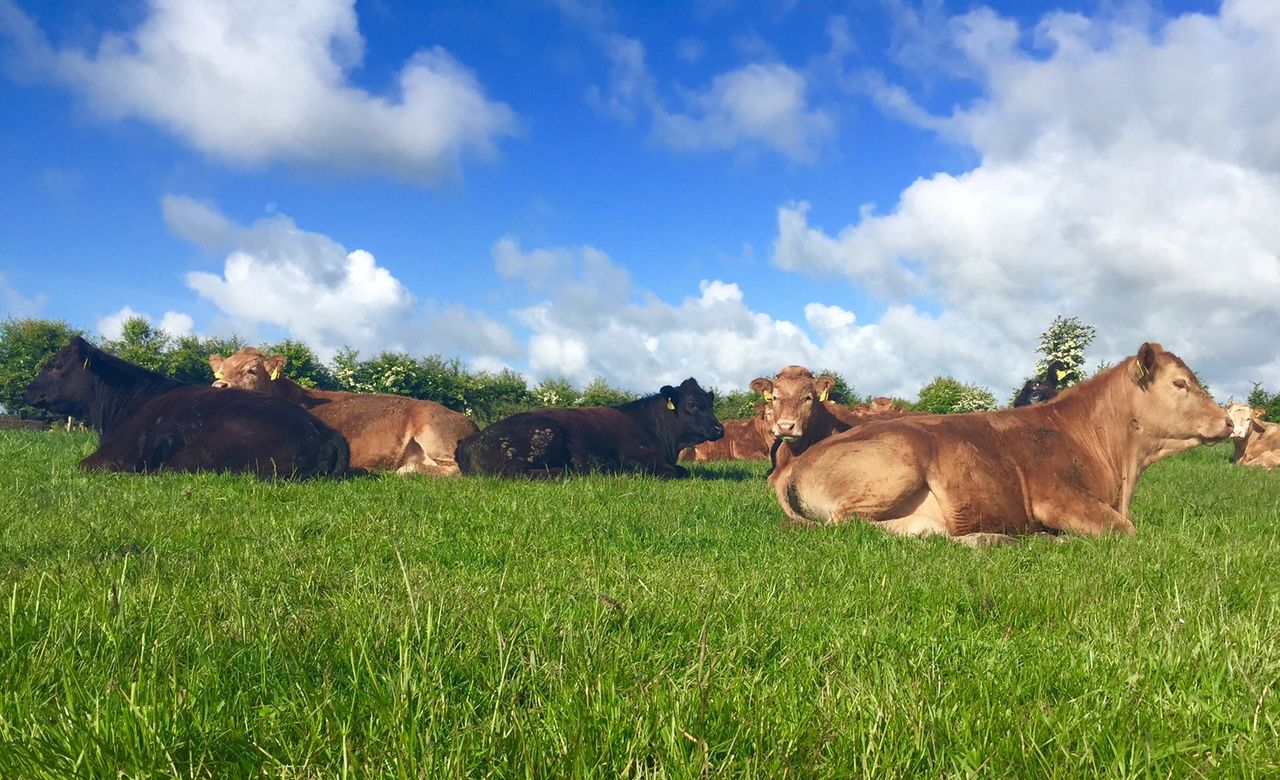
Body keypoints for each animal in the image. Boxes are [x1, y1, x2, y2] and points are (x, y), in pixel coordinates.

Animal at [456, 378, 724, 478]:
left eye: (710, 401)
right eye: (692, 405)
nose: (719, 429)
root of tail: (469, 440)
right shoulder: (640, 459)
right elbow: (678, 471)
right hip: (543, 435)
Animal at [770, 343, 1232, 547]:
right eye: (1180, 383)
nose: (1228, 420)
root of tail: (796, 462)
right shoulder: (1056, 496)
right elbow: (1125, 530)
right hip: (897, 465)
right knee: (850, 525)